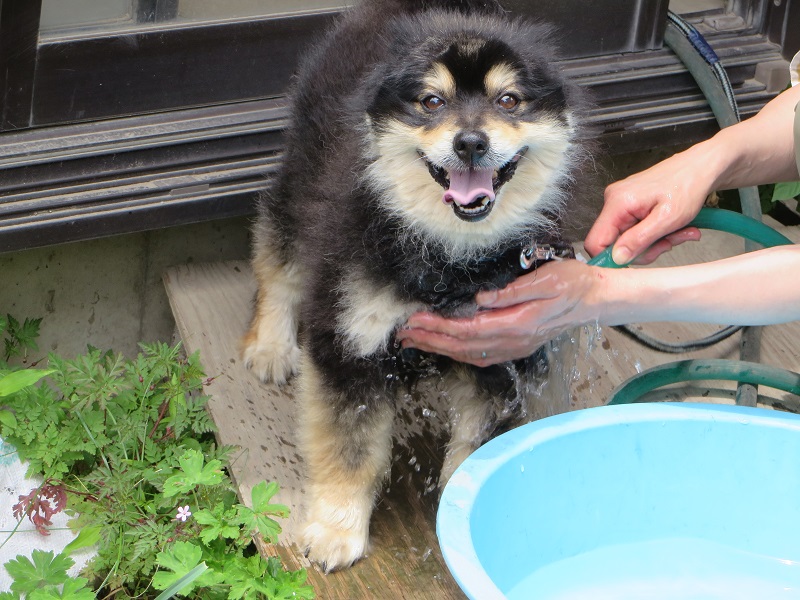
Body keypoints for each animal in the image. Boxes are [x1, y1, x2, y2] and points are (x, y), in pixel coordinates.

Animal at [243, 0, 593, 572]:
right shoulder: (352, 344)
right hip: (302, 185)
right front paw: (336, 530)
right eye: (432, 101)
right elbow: (351, 453)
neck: (451, 262)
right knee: (279, 263)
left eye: (508, 100)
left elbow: (477, 445)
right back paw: (271, 344)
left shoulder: (503, 358)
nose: (470, 141)